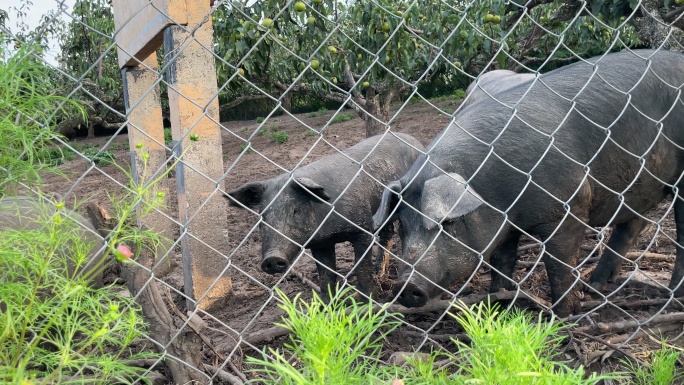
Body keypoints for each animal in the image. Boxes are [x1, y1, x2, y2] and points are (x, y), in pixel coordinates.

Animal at [227, 134, 424, 298]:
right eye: (262, 215)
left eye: (296, 210)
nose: (272, 258)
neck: (329, 231)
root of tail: (414, 140)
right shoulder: (320, 244)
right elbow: (326, 275)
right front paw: (326, 304)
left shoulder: (362, 228)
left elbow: (361, 266)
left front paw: (372, 298)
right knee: (387, 232)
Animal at [372, 48, 684, 316]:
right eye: (402, 225)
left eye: (448, 223)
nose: (405, 285)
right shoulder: (505, 226)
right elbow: (502, 261)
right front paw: (497, 304)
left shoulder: (568, 207)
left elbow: (559, 266)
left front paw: (563, 316)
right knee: (633, 224)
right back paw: (596, 287)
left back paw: (672, 298)